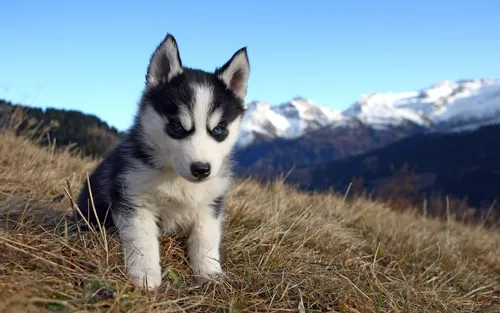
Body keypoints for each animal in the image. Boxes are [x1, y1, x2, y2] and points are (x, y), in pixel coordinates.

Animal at [75, 33, 249, 288]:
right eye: (177, 126)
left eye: (218, 129)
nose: (201, 169)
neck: (175, 177)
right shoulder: (133, 199)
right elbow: (143, 241)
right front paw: (145, 275)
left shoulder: (210, 205)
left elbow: (206, 240)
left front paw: (210, 273)